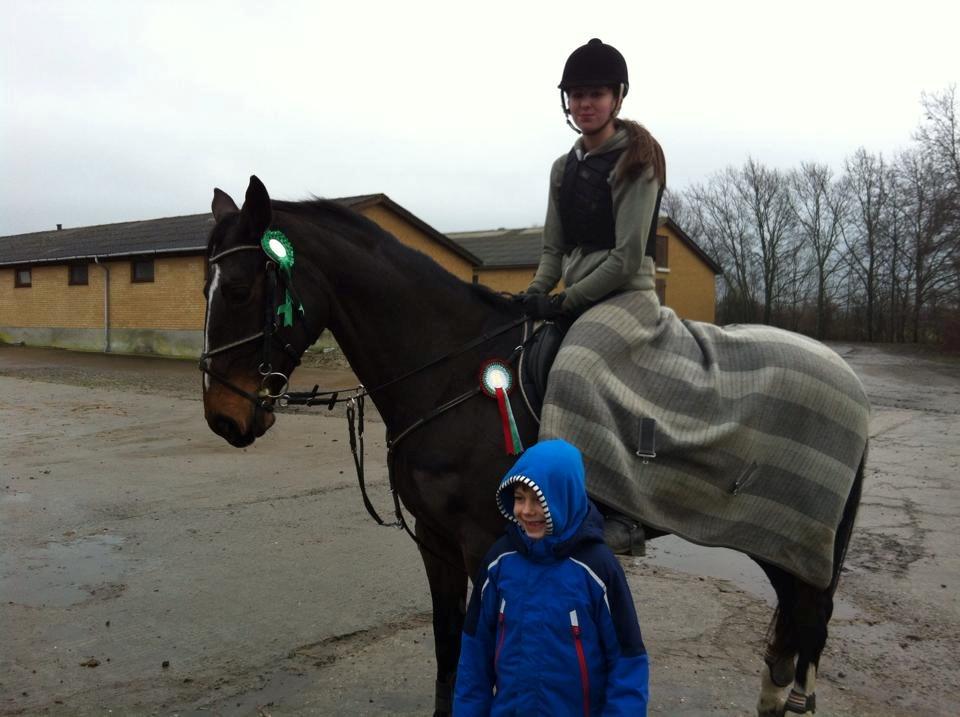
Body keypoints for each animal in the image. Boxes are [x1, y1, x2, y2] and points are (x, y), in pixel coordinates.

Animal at [201, 175, 864, 716]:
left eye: (238, 290)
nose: (223, 417)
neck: (454, 372)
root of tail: (847, 378)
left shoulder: (481, 543)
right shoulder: (436, 544)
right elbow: (449, 657)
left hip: (786, 539)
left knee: (807, 630)